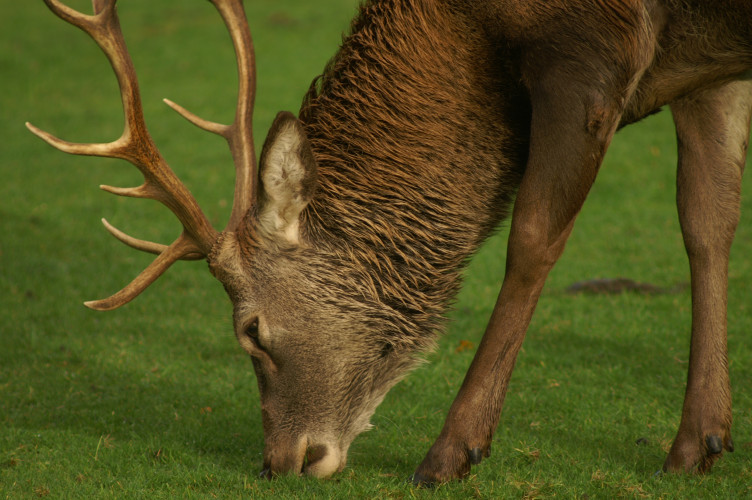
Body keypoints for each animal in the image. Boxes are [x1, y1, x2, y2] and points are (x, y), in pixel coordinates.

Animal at [27, 0, 752, 485]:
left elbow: (533, 240)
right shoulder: (710, 64)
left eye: (251, 331)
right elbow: (708, 219)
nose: (281, 461)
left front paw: (452, 452)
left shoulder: (590, 54)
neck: (469, 26)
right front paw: (700, 441)